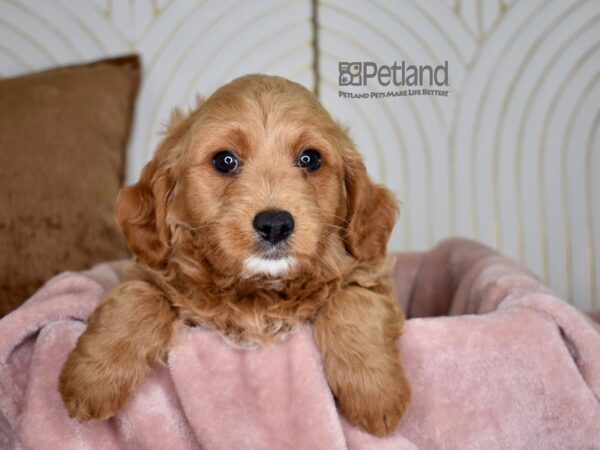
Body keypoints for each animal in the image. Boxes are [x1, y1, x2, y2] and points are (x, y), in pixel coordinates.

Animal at [58, 74, 410, 436]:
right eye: (225, 161)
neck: (258, 289)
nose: (274, 224)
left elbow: (352, 300)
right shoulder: (149, 272)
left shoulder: (372, 278)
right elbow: (138, 296)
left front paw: (376, 395)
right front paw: (91, 380)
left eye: (310, 159)